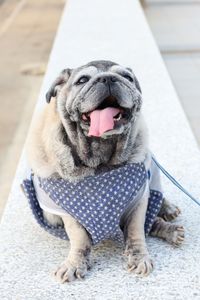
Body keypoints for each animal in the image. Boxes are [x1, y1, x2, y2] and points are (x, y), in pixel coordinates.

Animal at [23, 59, 184, 282]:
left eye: (127, 77)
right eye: (82, 80)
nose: (107, 78)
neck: (101, 160)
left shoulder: (138, 202)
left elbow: (136, 231)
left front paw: (139, 256)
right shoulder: (68, 213)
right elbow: (79, 237)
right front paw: (75, 263)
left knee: (155, 208)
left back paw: (169, 216)